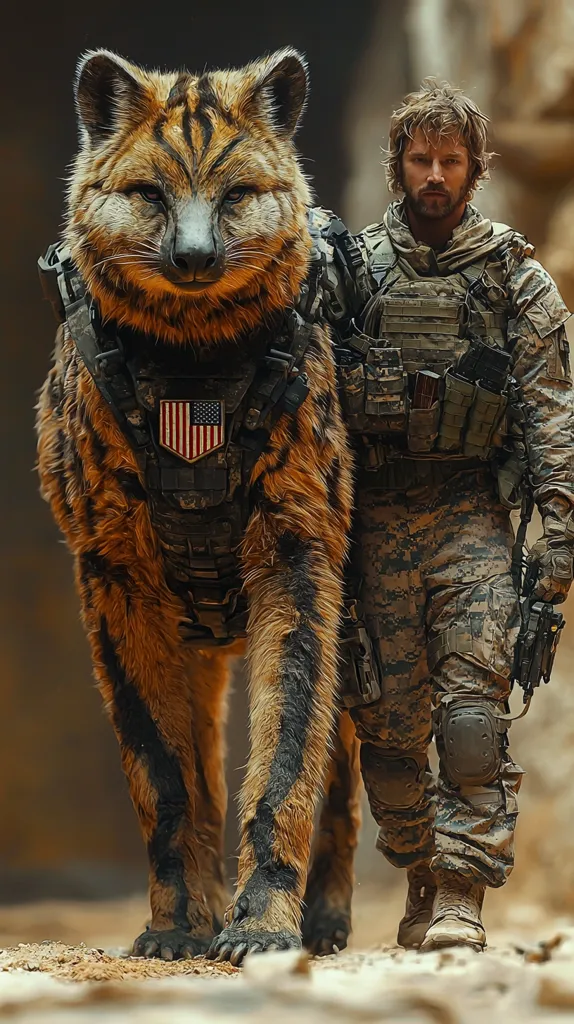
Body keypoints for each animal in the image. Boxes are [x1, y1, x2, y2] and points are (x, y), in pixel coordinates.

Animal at [35, 46, 361, 965]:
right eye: (150, 192)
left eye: (235, 193)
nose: (193, 256)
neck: (193, 366)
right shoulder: (114, 577)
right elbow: (168, 779)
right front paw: (180, 923)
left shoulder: (297, 556)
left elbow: (288, 756)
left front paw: (262, 924)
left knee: (345, 785)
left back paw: (327, 921)